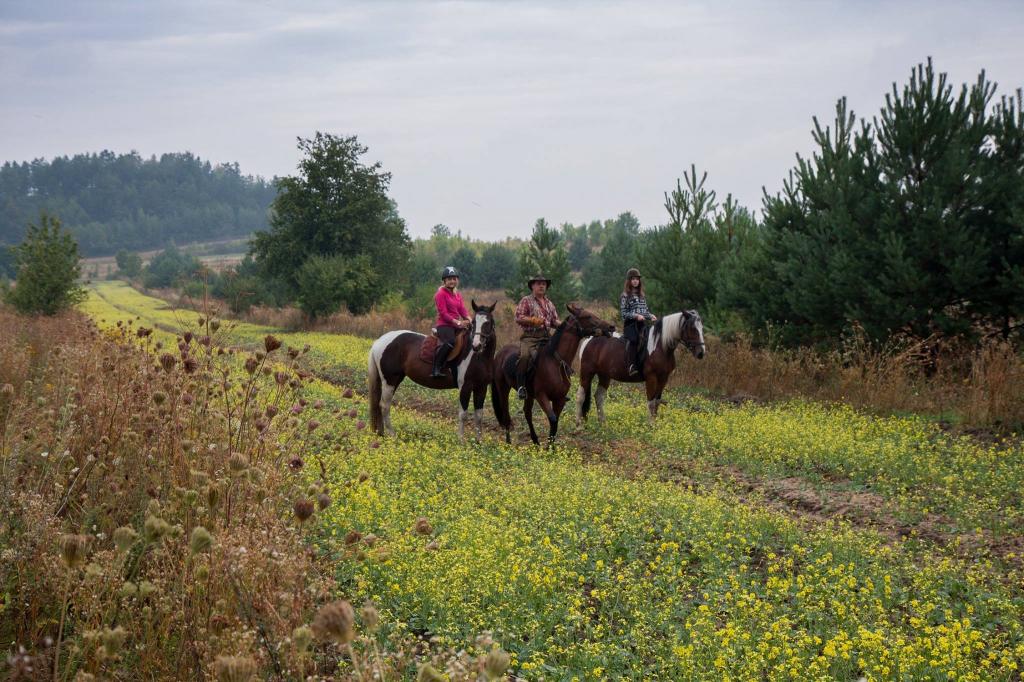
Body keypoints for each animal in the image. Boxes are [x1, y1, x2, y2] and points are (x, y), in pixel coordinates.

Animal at [368, 301, 495, 438]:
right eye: (474, 322)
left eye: (488, 322)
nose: (476, 345)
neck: (478, 357)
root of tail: (380, 340)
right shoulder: (465, 387)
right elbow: (463, 415)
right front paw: (461, 440)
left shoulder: (481, 388)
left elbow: (479, 416)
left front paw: (478, 441)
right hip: (390, 380)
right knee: (384, 405)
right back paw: (392, 434)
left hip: (395, 379)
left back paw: (381, 433)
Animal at [489, 303, 610, 446]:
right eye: (588, 316)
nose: (610, 327)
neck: (555, 362)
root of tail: (499, 354)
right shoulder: (542, 396)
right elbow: (552, 419)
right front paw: (548, 447)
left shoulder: (559, 399)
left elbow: (555, 422)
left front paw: (550, 447)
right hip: (503, 389)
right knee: (506, 413)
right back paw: (508, 443)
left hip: (529, 395)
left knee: (527, 413)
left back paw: (536, 442)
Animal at [573, 309, 708, 425]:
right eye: (692, 328)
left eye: (701, 328)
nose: (701, 353)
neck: (660, 347)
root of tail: (590, 340)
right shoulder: (651, 377)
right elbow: (651, 401)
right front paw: (650, 425)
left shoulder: (664, 378)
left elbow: (657, 401)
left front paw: (655, 424)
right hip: (586, 372)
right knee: (581, 396)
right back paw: (578, 423)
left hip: (604, 375)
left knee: (599, 397)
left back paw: (602, 423)